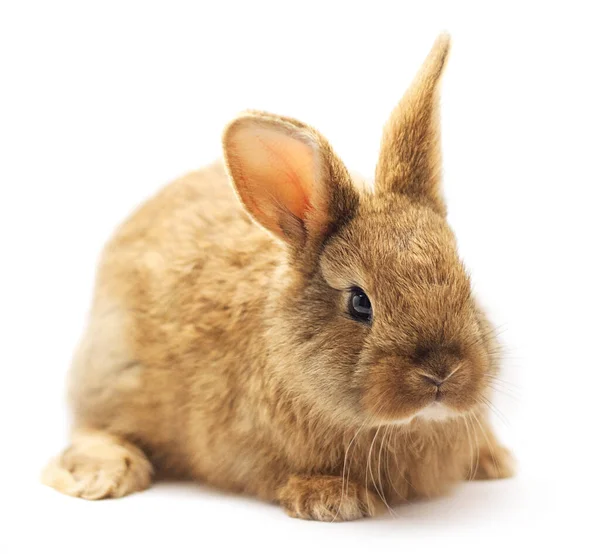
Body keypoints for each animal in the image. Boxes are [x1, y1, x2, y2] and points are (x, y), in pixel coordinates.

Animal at [42, 33, 512, 516]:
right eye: (359, 302)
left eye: (464, 281)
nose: (441, 373)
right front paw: (334, 499)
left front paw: (494, 458)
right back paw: (103, 475)